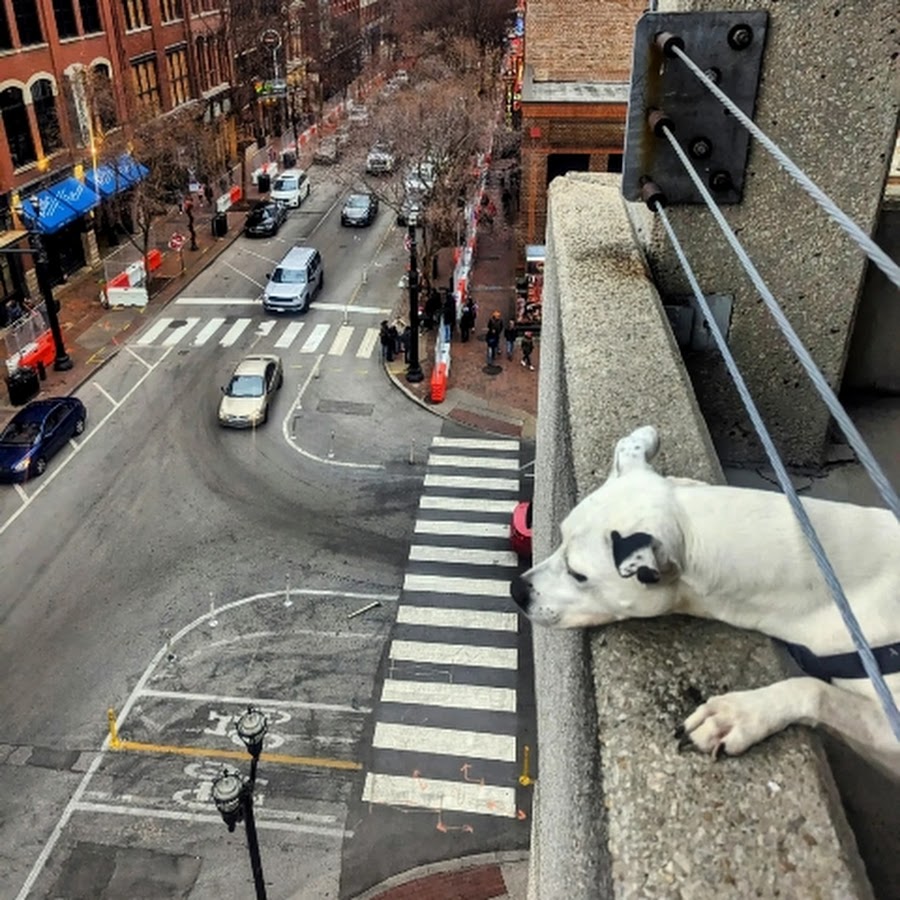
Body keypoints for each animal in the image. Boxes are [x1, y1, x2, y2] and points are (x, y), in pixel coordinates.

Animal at [510, 426, 900, 780]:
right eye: (559, 536)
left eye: (578, 574)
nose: (517, 590)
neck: (832, 586)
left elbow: (814, 690)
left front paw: (738, 714)